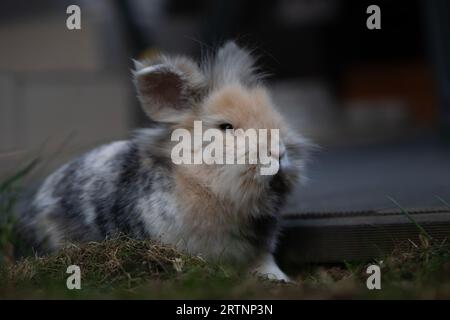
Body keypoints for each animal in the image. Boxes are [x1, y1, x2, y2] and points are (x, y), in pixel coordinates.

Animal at [20, 41, 310, 282]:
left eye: (275, 117)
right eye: (225, 126)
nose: (278, 153)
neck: (204, 185)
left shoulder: (260, 250)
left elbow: (266, 264)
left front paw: (281, 280)